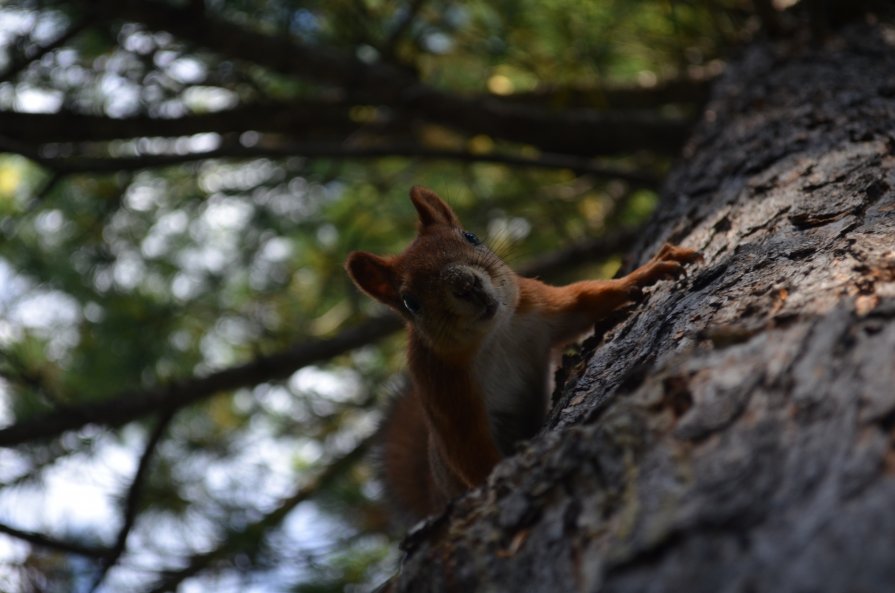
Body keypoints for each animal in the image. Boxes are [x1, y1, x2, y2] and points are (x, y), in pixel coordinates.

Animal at [344, 187, 700, 520]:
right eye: (410, 302)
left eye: (471, 237)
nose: (466, 284)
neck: (494, 337)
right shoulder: (445, 393)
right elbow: (471, 451)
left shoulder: (538, 305)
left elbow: (586, 298)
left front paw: (648, 270)